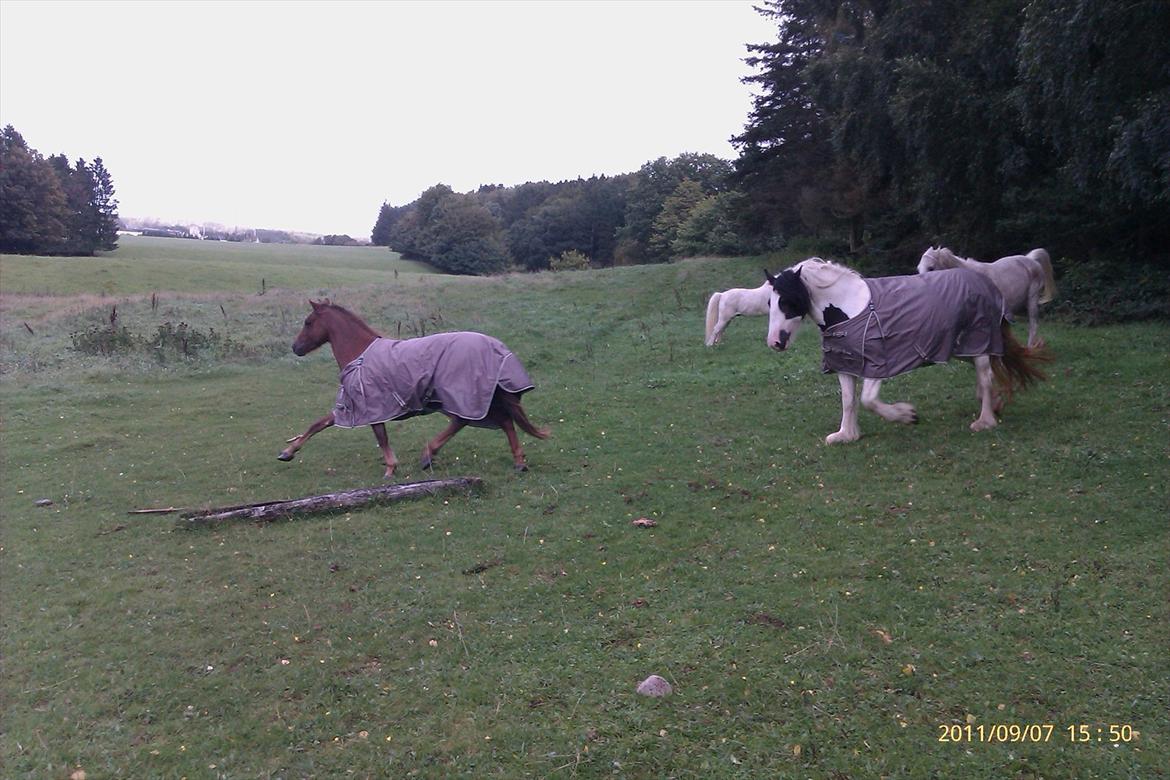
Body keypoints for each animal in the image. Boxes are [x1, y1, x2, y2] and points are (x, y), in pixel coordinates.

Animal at [278, 300, 549, 477]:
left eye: (308, 322)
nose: (295, 347)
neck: (360, 354)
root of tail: (496, 348)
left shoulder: (369, 406)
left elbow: (377, 436)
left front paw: (390, 468)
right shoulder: (360, 407)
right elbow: (320, 423)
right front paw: (288, 452)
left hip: (466, 397)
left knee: (470, 421)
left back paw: (429, 455)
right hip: (478, 398)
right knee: (500, 422)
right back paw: (518, 462)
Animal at [764, 258, 1048, 444]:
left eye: (788, 301)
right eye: (770, 302)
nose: (774, 342)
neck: (851, 308)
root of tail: (987, 284)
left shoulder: (877, 363)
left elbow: (868, 400)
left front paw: (906, 416)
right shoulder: (845, 364)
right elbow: (848, 400)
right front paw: (846, 435)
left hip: (977, 341)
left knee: (986, 376)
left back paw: (985, 421)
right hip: (963, 347)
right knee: (989, 372)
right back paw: (995, 406)